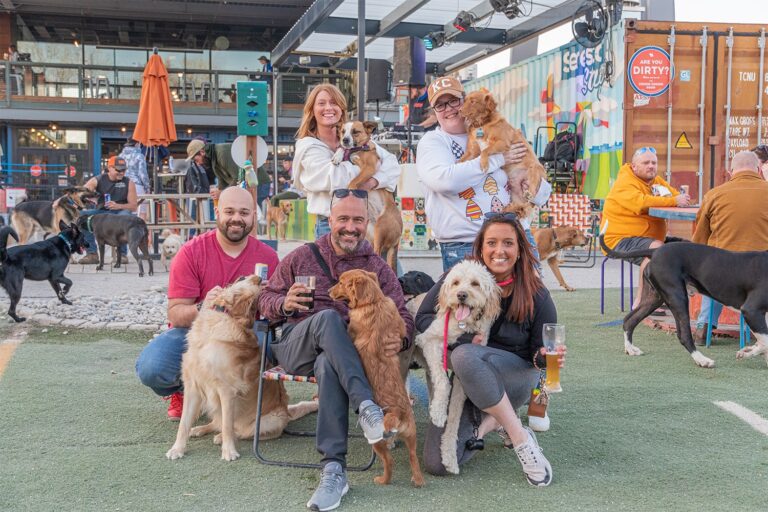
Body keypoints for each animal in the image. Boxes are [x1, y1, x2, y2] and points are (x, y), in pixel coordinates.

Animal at [167, 276, 318, 464]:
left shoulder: (226, 390)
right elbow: (184, 423)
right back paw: (200, 429)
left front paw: (229, 451)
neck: (222, 316)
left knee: (241, 431)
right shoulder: (193, 386)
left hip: (271, 420)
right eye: (256, 288)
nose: (258, 277)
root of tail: (287, 412)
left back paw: (220, 438)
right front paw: (177, 448)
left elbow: (227, 426)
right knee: (216, 423)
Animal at [330, 120, 402, 274]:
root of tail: (398, 237)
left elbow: (352, 183)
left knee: (377, 253)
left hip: (381, 227)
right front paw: (337, 156)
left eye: (355, 132)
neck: (357, 149)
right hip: (368, 234)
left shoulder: (369, 168)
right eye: (343, 131)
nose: (345, 140)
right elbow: (342, 150)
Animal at [330, 268, 426, 488]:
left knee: (389, 462)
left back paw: (382, 480)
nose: (329, 291)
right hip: (412, 438)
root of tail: (398, 414)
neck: (374, 302)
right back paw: (417, 481)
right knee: (414, 460)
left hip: (378, 444)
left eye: (340, 282)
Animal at [460, 88, 548, 220]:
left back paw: (529, 193)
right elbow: (460, 161)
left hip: (535, 169)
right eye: (465, 100)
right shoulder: (472, 151)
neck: (481, 124)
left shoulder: (502, 143)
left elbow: (485, 150)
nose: (459, 110)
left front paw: (484, 164)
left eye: (473, 101)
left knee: (532, 188)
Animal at [608, 240, 768, 368]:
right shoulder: (751, 311)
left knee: (629, 320)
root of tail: (655, 251)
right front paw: (746, 352)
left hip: (654, 298)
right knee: (684, 335)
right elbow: (766, 342)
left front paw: (751, 351)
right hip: (678, 297)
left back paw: (631, 349)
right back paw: (702, 360)